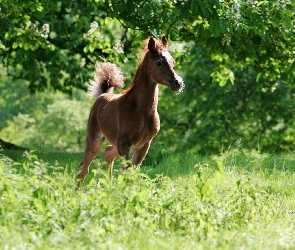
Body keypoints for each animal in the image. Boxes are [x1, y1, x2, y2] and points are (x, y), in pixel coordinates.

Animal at [77, 35, 186, 188]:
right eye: (158, 62)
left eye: (173, 61)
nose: (178, 83)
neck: (142, 111)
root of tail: (102, 95)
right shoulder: (124, 143)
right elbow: (127, 172)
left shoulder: (143, 144)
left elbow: (134, 172)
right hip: (96, 139)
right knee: (83, 169)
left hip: (116, 144)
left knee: (108, 152)